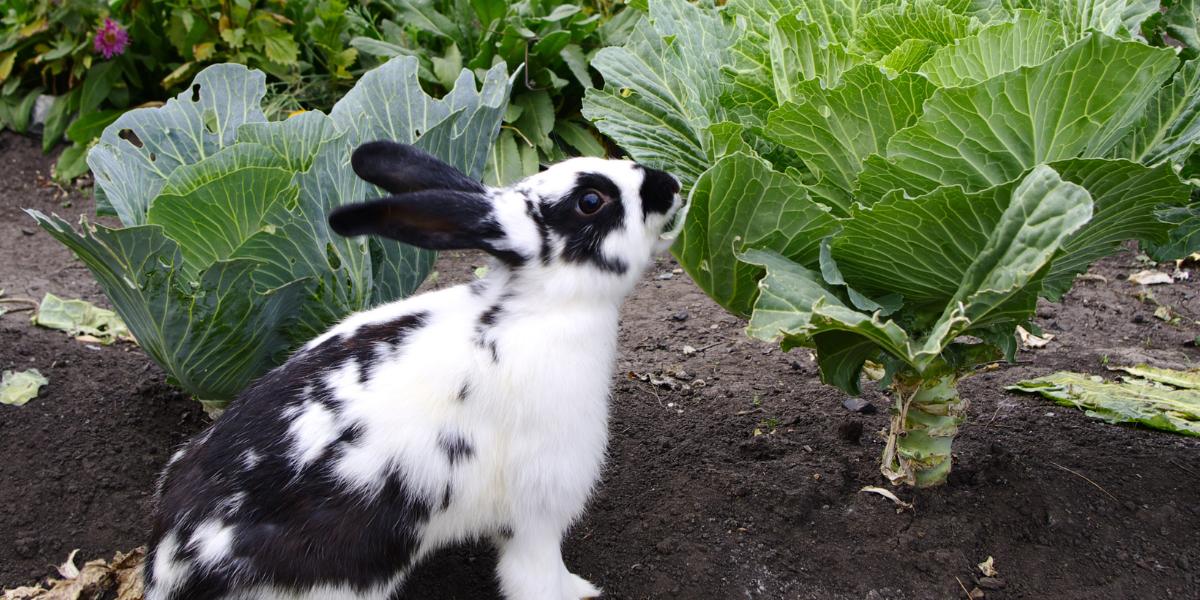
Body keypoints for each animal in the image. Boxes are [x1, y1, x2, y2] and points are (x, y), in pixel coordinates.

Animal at [142, 141, 686, 600]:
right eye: (592, 200)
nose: (671, 184)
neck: (534, 307)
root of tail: (170, 569)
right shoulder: (538, 505)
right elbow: (534, 573)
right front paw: (578, 592)